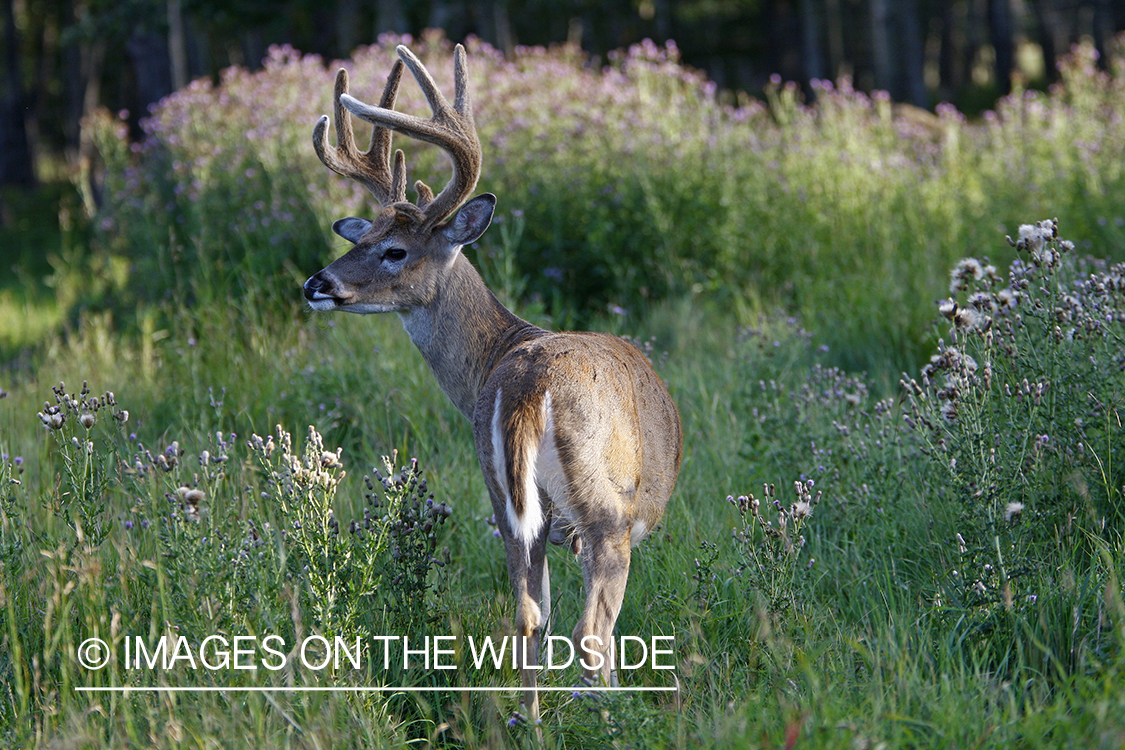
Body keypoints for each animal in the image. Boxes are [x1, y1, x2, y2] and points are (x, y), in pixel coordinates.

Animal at [303, 44, 679, 724]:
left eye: (393, 249)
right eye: (368, 238)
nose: (316, 283)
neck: (502, 346)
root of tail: (530, 386)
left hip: (503, 493)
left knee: (528, 616)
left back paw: (526, 718)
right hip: (602, 509)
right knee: (589, 630)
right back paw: (605, 718)